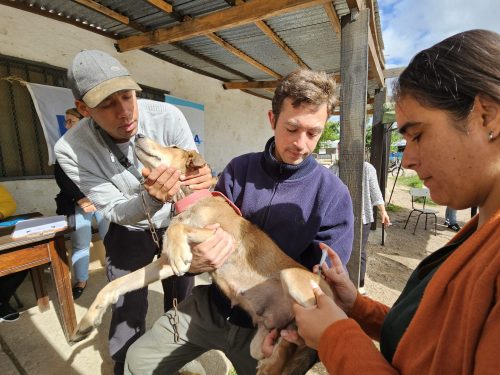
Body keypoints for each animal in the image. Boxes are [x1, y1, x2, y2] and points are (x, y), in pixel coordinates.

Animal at [70, 136, 334, 375]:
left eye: (174, 146)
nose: (138, 135)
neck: (187, 201)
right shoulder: (163, 263)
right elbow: (116, 284)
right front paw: (85, 324)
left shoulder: (225, 237)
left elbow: (179, 228)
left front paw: (180, 252)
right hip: (261, 340)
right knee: (285, 345)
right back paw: (270, 363)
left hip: (295, 283)